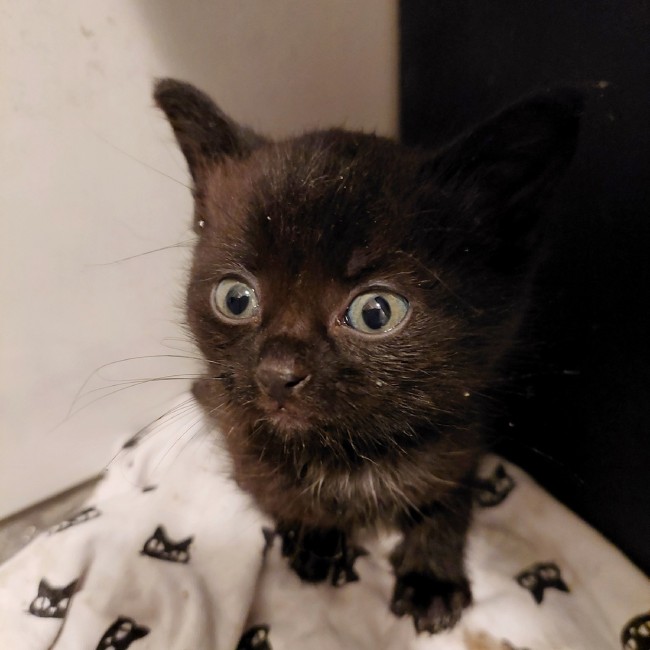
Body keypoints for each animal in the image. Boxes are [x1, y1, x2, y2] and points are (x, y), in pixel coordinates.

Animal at [154, 78, 581, 633]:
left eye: (376, 312)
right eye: (235, 298)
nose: (277, 374)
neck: (351, 456)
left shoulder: (463, 434)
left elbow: (447, 500)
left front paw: (431, 577)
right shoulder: (245, 446)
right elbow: (282, 493)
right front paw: (315, 541)